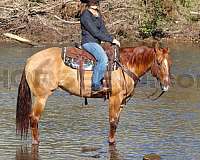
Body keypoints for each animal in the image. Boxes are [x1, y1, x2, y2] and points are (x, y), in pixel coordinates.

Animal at [15, 43, 172, 145]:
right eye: (158, 62)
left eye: (169, 63)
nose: (166, 85)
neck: (126, 64)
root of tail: (30, 60)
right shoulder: (115, 98)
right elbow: (112, 122)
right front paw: (111, 142)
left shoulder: (122, 101)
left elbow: (116, 122)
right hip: (41, 97)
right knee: (34, 118)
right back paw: (36, 141)